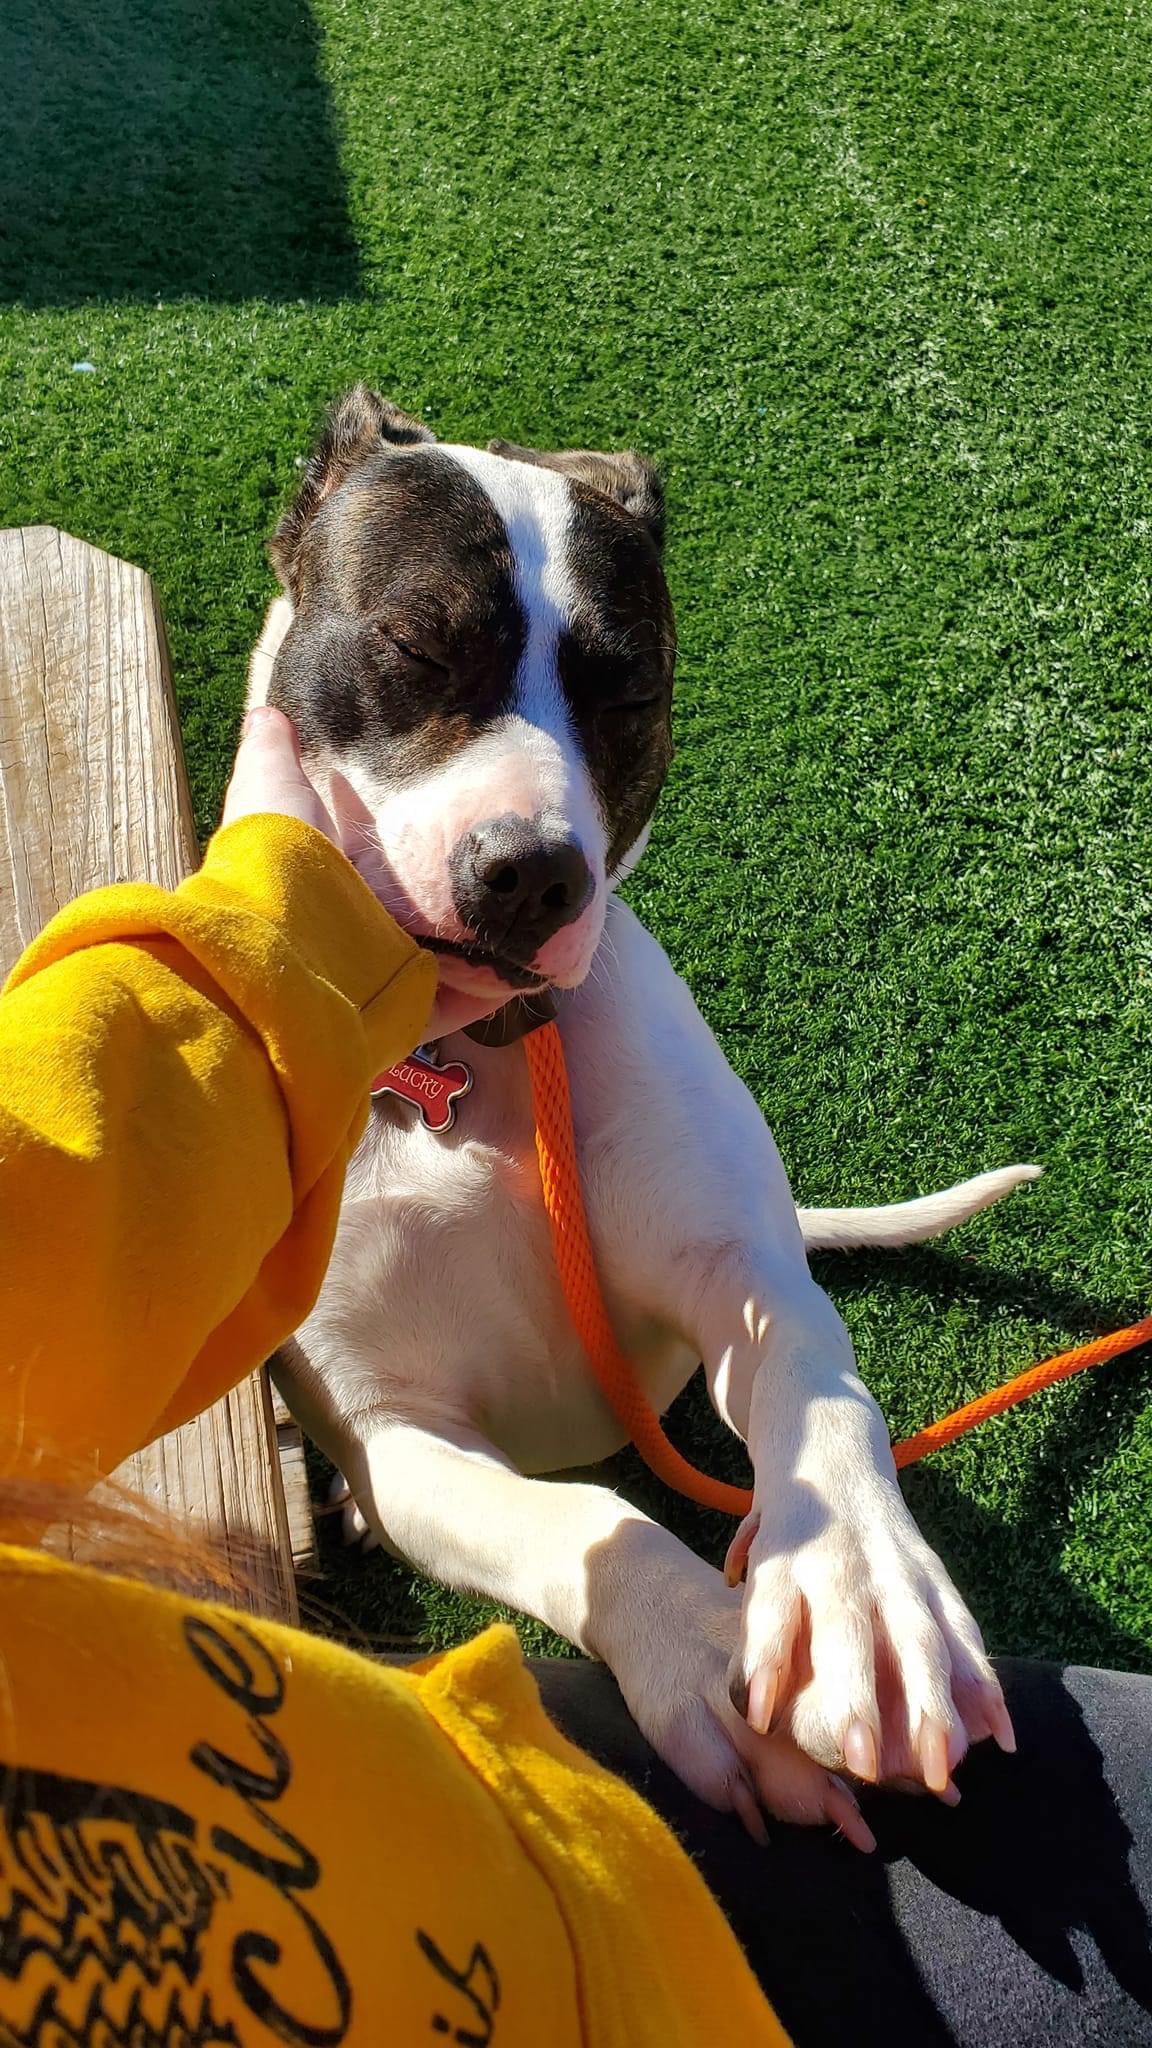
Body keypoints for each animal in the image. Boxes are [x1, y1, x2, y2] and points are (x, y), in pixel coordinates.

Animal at [249, 385, 1033, 1843]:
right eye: (413, 647)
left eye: (628, 693)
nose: (530, 874)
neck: (473, 1064)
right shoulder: (396, 1437)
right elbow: (570, 1529)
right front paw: (699, 1647)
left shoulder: (742, 1270)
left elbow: (819, 1384)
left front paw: (862, 1593)